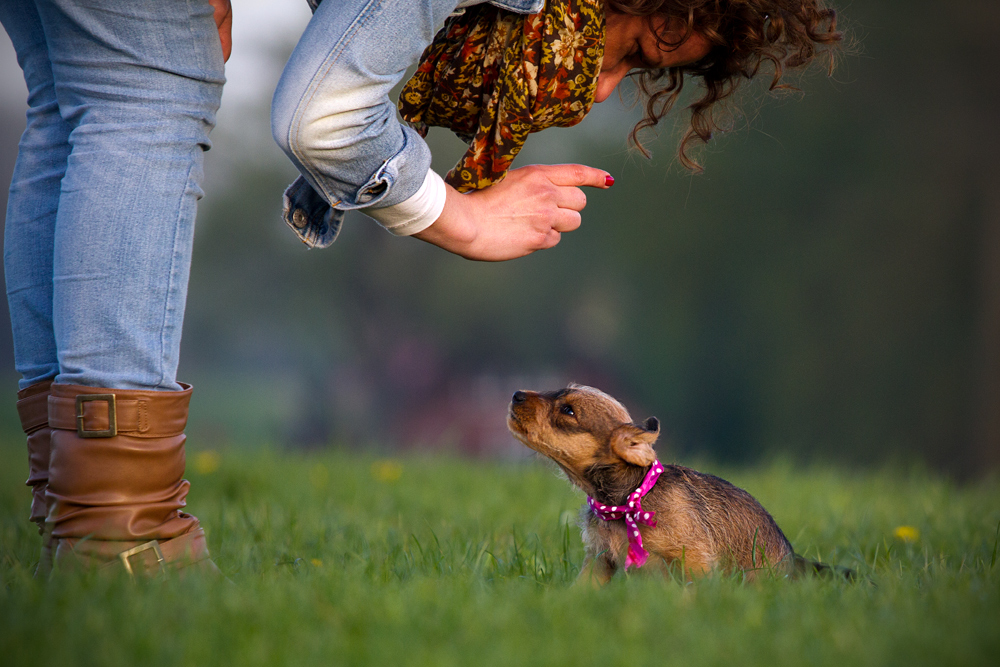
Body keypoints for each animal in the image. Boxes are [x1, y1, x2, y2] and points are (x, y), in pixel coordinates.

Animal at [508, 386, 844, 584]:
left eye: (568, 410)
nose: (516, 394)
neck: (626, 502)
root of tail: (793, 562)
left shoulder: (693, 561)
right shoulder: (599, 559)